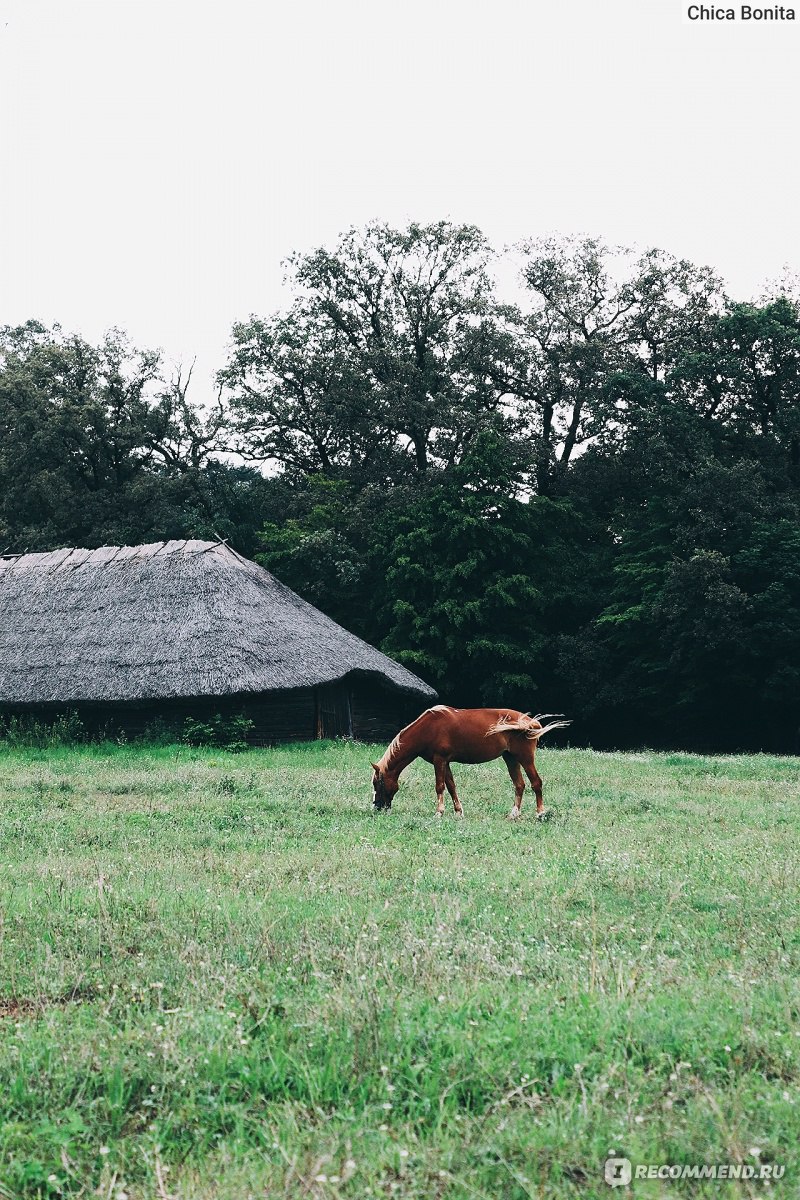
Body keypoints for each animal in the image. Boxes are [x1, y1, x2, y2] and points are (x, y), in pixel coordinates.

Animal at [371, 700, 573, 816]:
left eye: (377, 783)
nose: (377, 807)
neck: (428, 728)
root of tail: (531, 722)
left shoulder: (439, 760)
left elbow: (439, 786)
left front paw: (439, 813)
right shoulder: (446, 762)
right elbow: (451, 786)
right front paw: (458, 812)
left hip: (525, 758)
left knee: (536, 783)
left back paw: (540, 813)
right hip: (511, 759)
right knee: (520, 785)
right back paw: (513, 814)